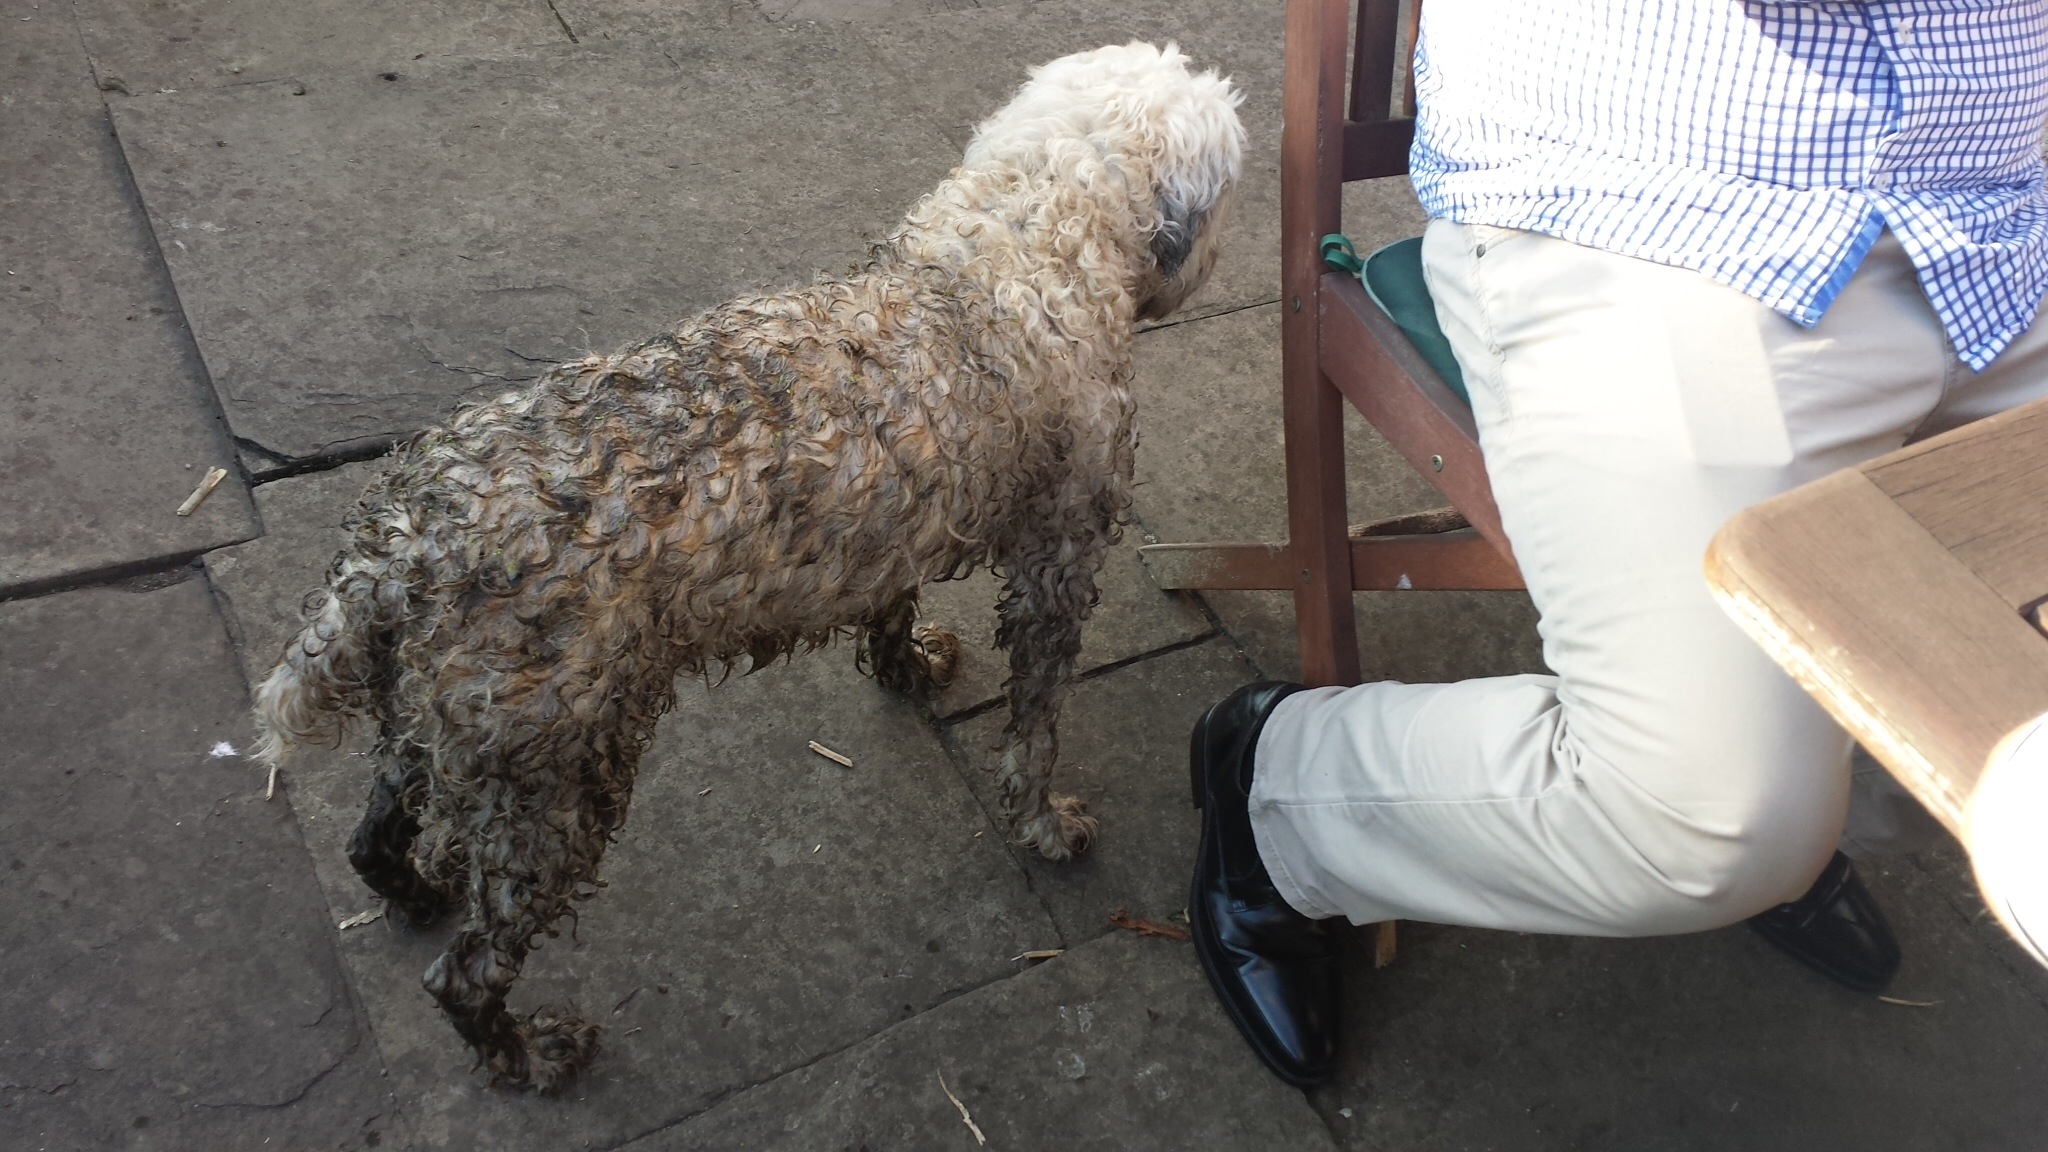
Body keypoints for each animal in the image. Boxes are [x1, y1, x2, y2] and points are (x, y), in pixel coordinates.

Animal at [253, 41, 1244, 1092]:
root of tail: (401, 545)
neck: (1016, 245)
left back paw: (408, 891)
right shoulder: (1061, 559)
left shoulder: (897, 517)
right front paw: (1046, 826)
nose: (1211, 261)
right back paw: (531, 1052)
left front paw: (907, 667)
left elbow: (892, 606)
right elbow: (1036, 728)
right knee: (466, 970)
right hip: (554, 781)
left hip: (447, 724)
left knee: (374, 826)